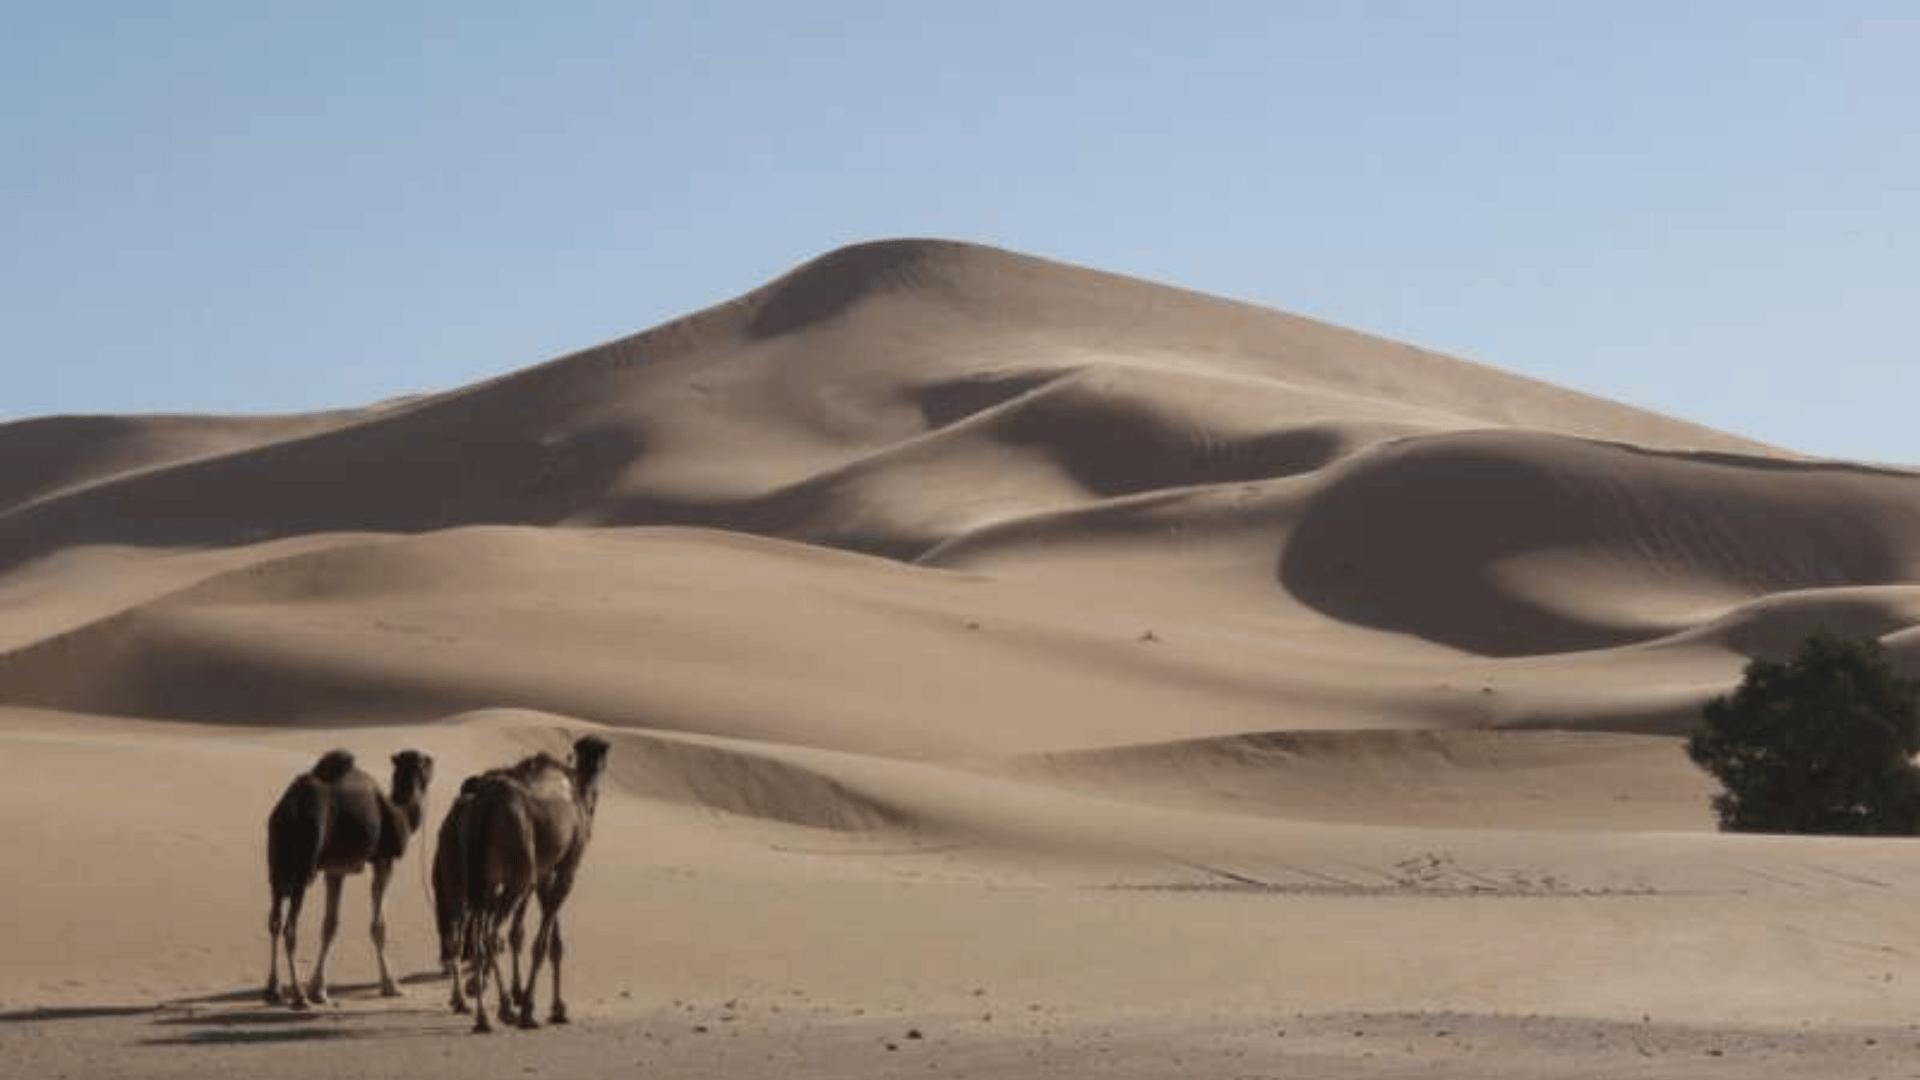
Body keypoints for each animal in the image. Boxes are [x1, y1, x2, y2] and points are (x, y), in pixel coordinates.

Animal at [263, 745, 435, 1006]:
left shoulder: (336, 870)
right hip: (304, 864)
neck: (401, 813)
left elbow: (330, 925)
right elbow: (378, 926)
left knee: (274, 921)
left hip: (276, 864)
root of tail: (288, 810)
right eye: (426, 761)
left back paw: (274, 990)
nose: (433, 761)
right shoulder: (384, 859)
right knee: (289, 928)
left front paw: (319, 990)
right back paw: (299, 997)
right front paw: (391, 985)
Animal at [451, 734, 606, 1030]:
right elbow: (541, 942)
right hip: (517, 873)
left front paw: (558, 1007)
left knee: (477, 932)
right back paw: (504, 1009)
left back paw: (482, 1014)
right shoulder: (568, 867)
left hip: (482, 877)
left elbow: (553, 938)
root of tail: (485, 805)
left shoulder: (545, 871)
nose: (597, 767)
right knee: (491, 933)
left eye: (604, 755)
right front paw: (530, 1007)